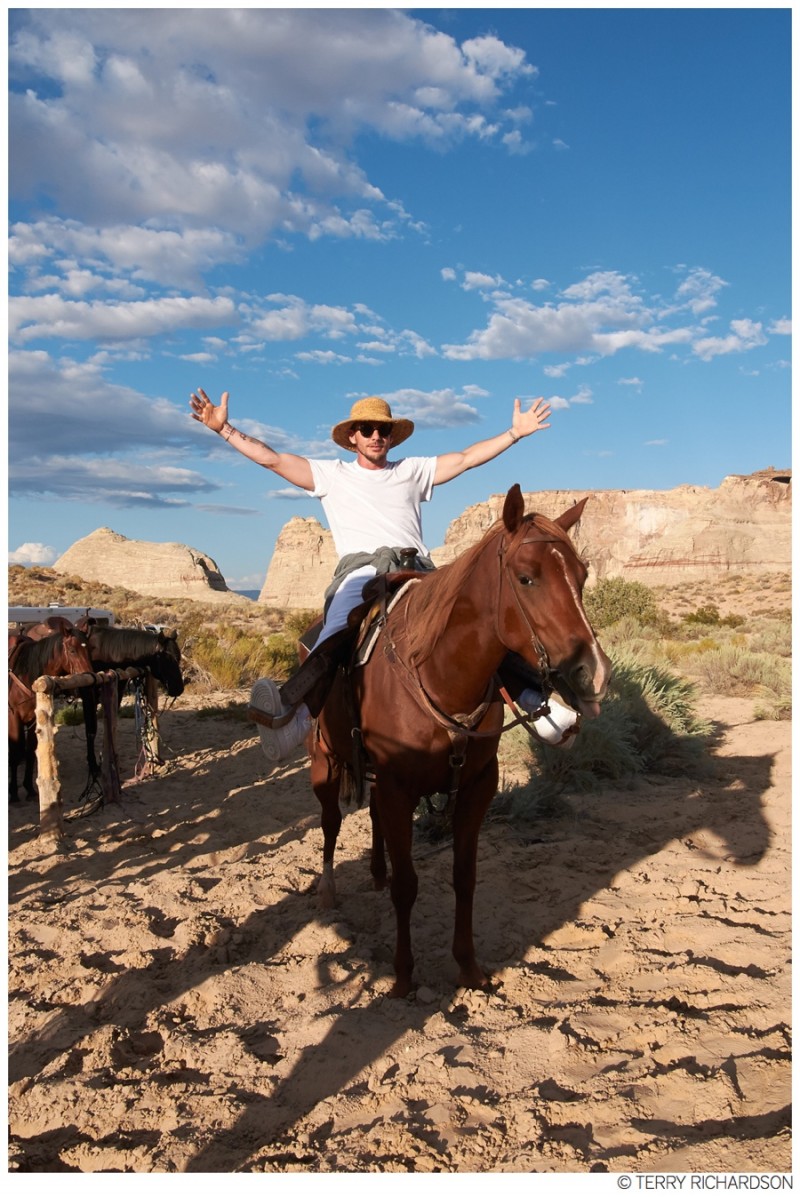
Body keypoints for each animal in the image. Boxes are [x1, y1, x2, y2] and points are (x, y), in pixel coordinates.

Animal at [8, 617, 94, 804]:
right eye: (72, 650)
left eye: (89, 649)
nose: (89, 680)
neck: (26, 672)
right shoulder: (13, 718)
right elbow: (15, 753)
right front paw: (13, 793)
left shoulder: (34, 720)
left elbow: (30, 751)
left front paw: (29, 788)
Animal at [308, 485, 608, 1000]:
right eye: (526, 578)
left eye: (583, 575)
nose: (595, 673)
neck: (441, 675)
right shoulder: (398, 788)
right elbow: (408, 886)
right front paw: (403, 976)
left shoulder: (476, 787)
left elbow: (464, 877)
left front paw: (469, 969)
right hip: (325, 763)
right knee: (330, 823)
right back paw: (329, 890)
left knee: (373, 821)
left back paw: (376, 872)